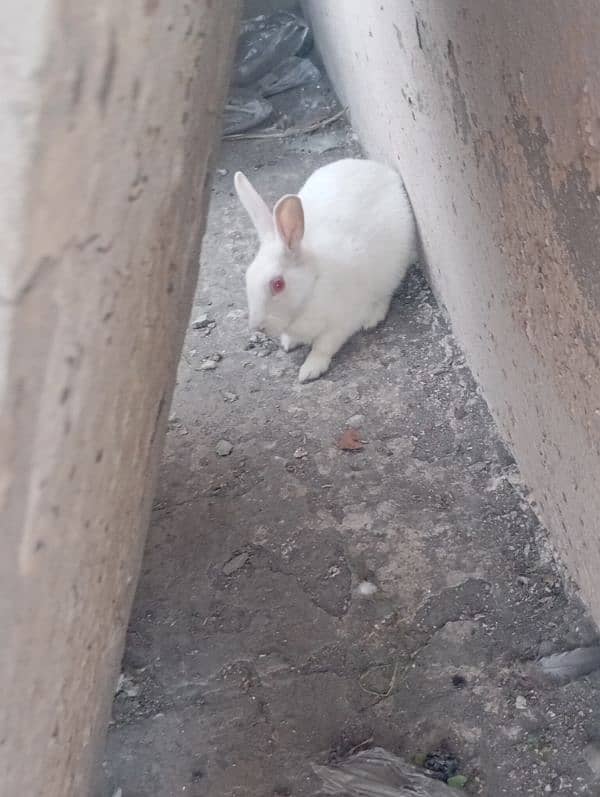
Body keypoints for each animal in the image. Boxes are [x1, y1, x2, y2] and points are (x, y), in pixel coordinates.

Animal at [234, 159, 418, 382]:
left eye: (278, 284)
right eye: (247, 277)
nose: (257, 327)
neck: (312, 286)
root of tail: (384, 171)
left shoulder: (341, 323)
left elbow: (323, 347)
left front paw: (309, 370)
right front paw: (289, 343)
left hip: (392, 269)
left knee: (385, 294)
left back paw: (372, 318)